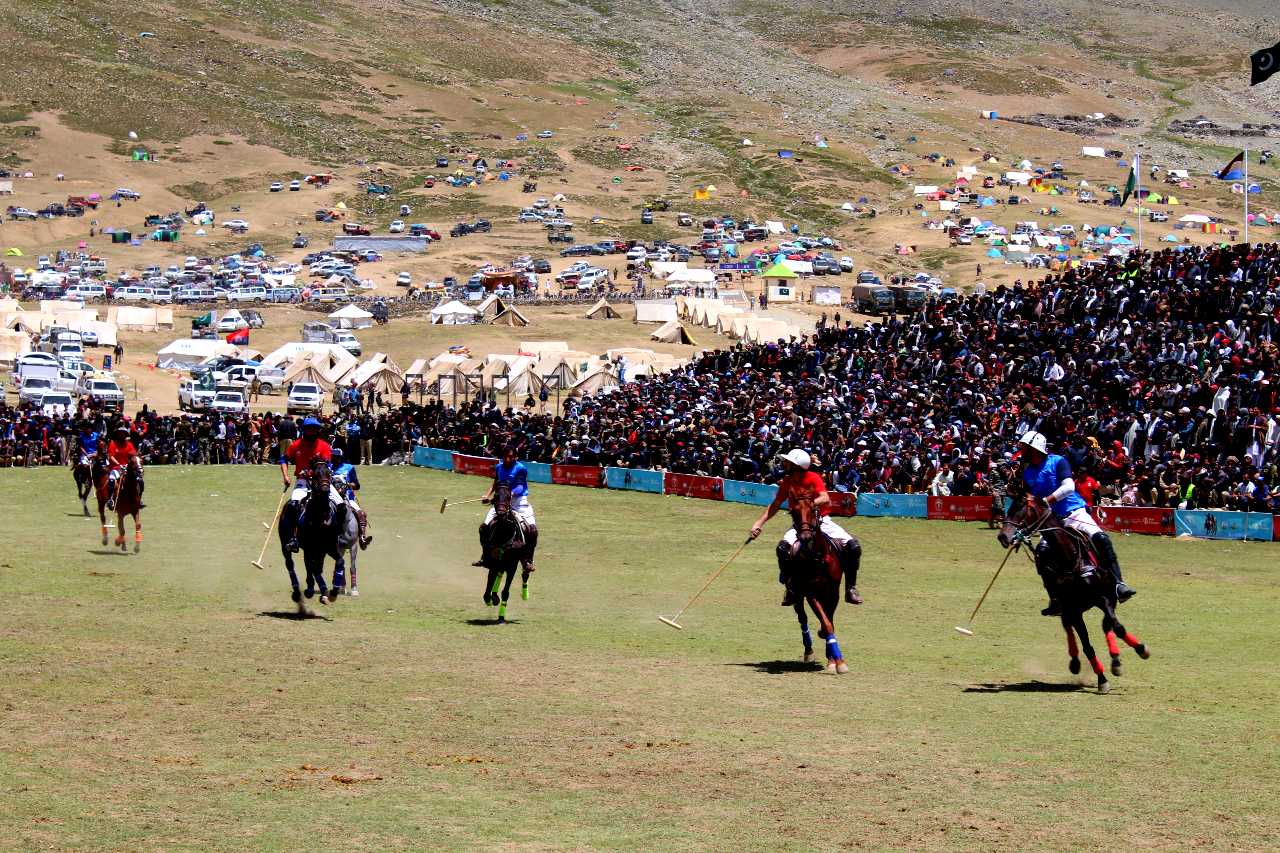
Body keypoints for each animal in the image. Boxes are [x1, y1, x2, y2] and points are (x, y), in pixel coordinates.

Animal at [481, 481, 537, 622]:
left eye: (508, 497)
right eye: (496, 496)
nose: (501, 513)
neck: (503, 533)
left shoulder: (512, 564)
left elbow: (505, 592)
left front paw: (501, 617)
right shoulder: (494, 560)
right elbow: (489, 585)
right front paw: (491, 599)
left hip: (526, 554)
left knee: (525, 572)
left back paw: (525, 594)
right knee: (500, 573)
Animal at [778, 499, 849, 671]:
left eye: (812, 511)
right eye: (794, 512)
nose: (805, 538)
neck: (818, 558)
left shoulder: (833, 593)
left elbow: (829, 621)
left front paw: (832, 659)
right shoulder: (811, 594)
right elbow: (826, 623)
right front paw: (839, 662)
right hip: (797, 594)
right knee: (802, 618)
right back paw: (808, 651)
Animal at [993, 499, 1157, 691]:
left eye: (1021, 510)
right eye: (1009, 508)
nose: (1003, 537)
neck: (1069, 558)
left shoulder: (1105, 598)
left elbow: (1116, 627)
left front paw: (1140, 650)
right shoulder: (1073, 609)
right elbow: (1087, 646)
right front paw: (1102, 679)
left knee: (1104, 625)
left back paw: (1114, 660)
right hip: (1067, 607)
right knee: (1068, 626)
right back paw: (1075, 661)